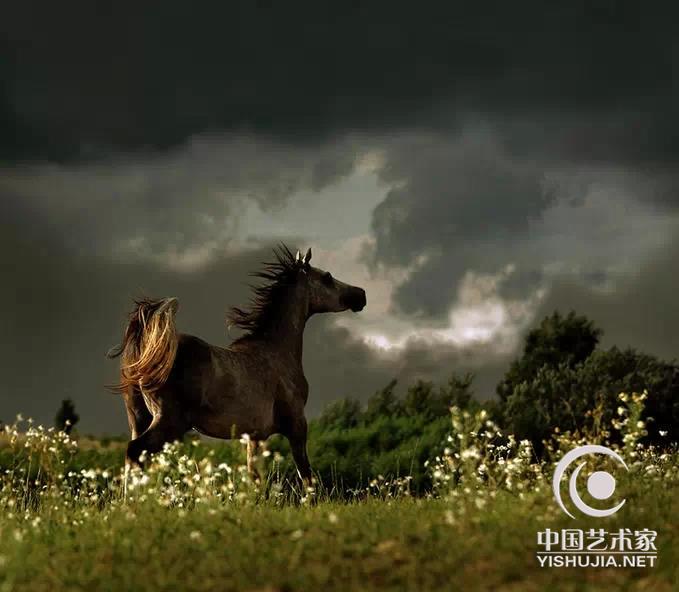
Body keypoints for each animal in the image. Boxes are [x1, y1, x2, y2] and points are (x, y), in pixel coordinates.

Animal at [107, 245, 366, 480]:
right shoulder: (297, 426)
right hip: (169, 422)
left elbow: (255, 479)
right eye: (327, 277)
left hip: (139, 419)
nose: (360, 294)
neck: (276, 351)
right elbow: (306, 476)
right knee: (135, 451)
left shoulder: (256, 438)